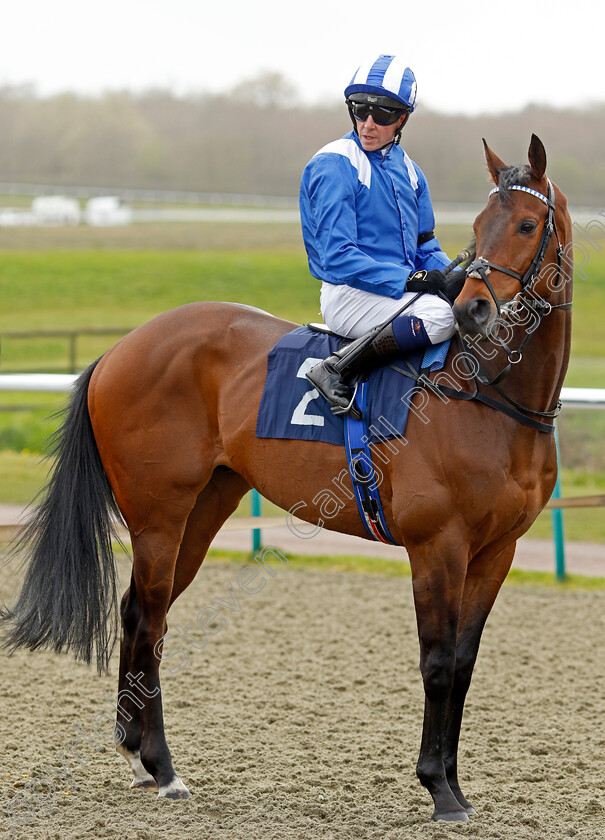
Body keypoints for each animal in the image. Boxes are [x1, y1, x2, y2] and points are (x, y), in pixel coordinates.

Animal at [1, 135, 572, 824]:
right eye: (481, 225)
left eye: (526, 224)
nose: (472, 309)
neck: (484, 392)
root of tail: (119, 349)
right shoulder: (439, 545)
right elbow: (436, 663)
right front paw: (438, 788)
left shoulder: (496, 551)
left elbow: (462, 666)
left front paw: (457, 787)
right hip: (158, 514)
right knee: (150, 618)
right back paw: (163, 767)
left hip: (204, 509)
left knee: (141, 613)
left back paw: (138, 755)